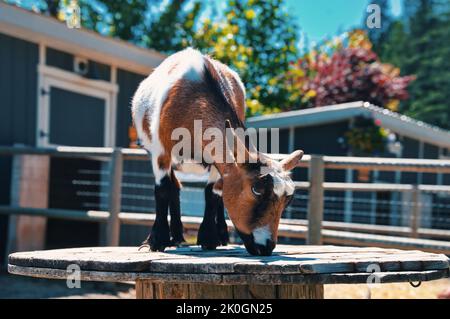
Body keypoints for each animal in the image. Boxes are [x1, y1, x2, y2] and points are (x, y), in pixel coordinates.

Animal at [132, 48, 304, 258]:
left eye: (289, 198)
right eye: (257, 189)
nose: (265, 247)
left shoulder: (218, 156)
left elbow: (213, 192)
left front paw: (208, 238)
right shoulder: (160, 150)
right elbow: (163, 188)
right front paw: (157, 240)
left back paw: (219, 235)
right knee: (174, 186)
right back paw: (177, 236)